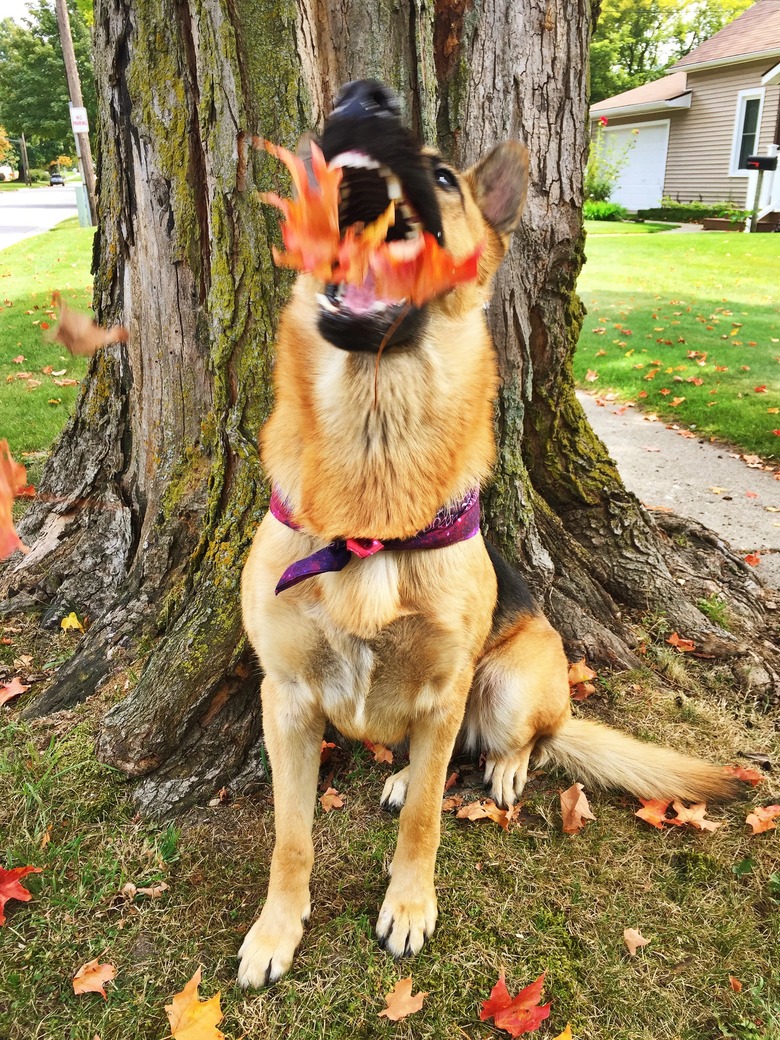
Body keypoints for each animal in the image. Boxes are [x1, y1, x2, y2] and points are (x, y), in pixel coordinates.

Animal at [237, 81, 732, 990]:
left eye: (443, 176)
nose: (368, 100)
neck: (374, 496)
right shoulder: (285, 701)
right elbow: (292, 837)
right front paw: (276, 929)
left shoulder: (443, 690)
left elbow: (429, 822)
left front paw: (407, 905)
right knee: (429, 762)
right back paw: (403, 777)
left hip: (506, 681)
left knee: (522, 745)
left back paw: (497, 766)